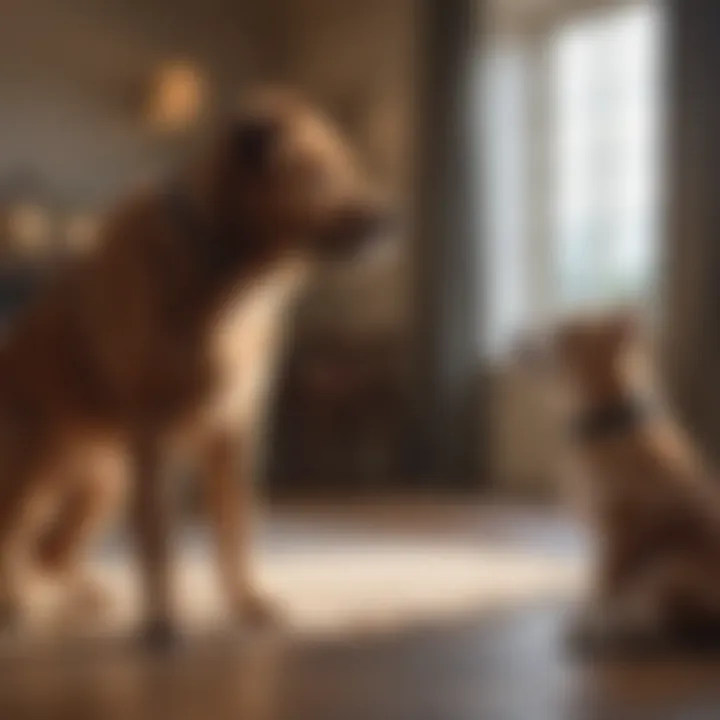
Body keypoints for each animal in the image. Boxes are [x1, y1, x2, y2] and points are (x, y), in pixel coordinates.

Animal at [0, 87, 388, 644]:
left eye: (351, 165)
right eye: (316, 171)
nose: (391, 223)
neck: (228, 270)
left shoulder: (235, 432)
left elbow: (236, 529)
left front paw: (248, 605)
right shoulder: (153, 436)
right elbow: (160, 539)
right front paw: (163, 623)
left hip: (105, 478)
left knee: (48, 553)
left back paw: (77, 596)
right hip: (34, 460)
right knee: (13, 539)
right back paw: (16, 603)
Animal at [524, 312, 720, 656]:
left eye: (557, 337)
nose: (516, 342)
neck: (607, 422)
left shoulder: (622, 530)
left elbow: (603, 587)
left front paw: (590, 623)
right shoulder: (604, 536)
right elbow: (597, 583)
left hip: (671, 565)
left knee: (675, 625)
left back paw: (627, 628)